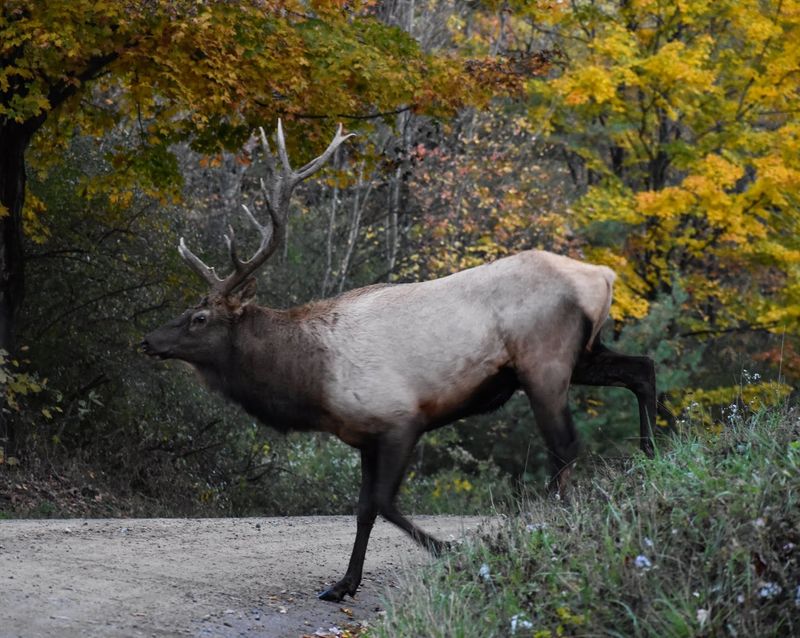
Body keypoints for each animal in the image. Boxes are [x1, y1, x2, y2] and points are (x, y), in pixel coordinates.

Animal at [142, 121, 657, 603]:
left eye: (199, 318)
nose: (148, 341)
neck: (311, 386)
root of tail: (602, 276)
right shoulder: (363, 436)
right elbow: (364, 509)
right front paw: (343, 584)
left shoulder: (400, 419)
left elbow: (386, 503)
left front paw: (450, 550)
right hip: (581, 355)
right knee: (642, 369)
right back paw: (650, 461)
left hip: (543, 361)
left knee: (565, 445)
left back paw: (552, 521)